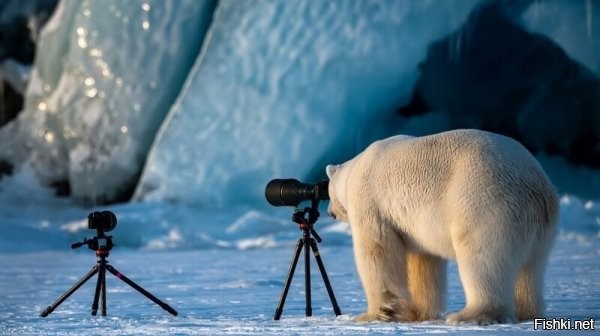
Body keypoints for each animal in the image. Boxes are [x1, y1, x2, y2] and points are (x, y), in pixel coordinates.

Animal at [326, 129, 560, 322]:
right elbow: (423, 261)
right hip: (540, 227)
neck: (354, 170)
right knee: (531, 268)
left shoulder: (370, 202)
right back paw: (528, 312)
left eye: (327, 193)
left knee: (482, 259)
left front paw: (374, 314)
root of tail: (536, 184)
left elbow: (377, 250)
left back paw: (470, 315)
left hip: (486, 203)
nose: (329, 212)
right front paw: (417, 313)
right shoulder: (415, 226)